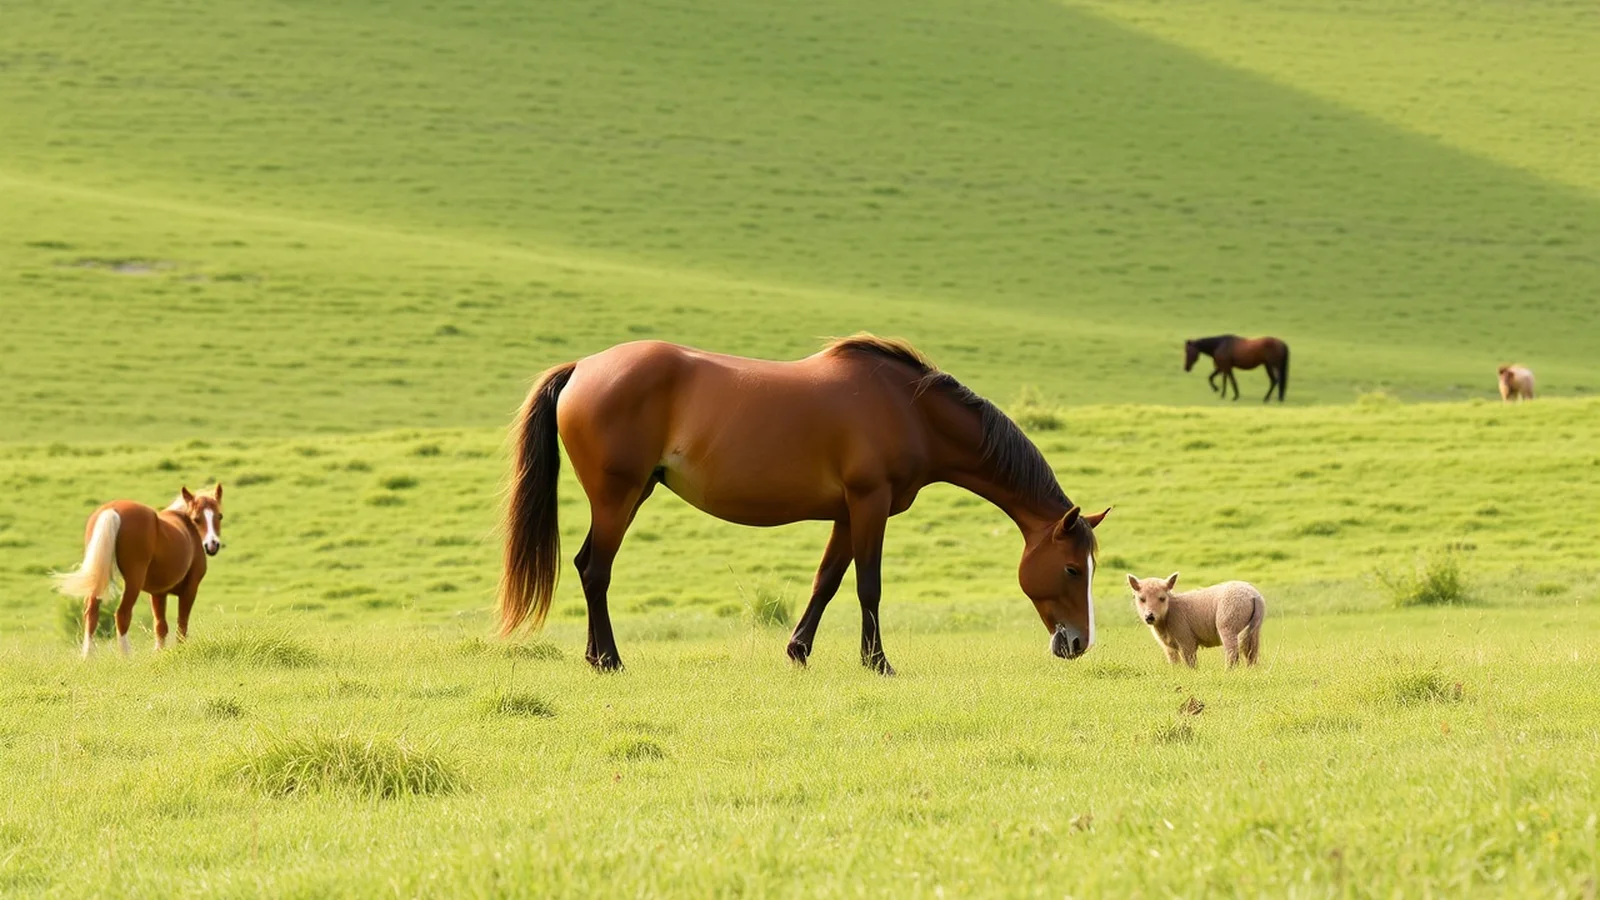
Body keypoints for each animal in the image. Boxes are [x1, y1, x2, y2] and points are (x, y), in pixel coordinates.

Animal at [54, 485, 225, 658]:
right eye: (197, 519)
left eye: (219, 516)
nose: (212, 545)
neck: (187, 526)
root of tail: (112, 510)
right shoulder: (189, 589)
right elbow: (181, 624)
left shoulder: (158, 593)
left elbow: (160, 626)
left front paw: (159, 654)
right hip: (133, 581)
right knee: (122, 614)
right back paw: (126, 656)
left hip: (100, 576)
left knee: (91, 612)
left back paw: (88, 656)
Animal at [498, 335, 1110, 674]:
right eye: (1072, 568)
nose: (1079, 644)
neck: (908, 408)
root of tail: (583, 367)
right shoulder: (870, 503)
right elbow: (868, 586)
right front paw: (877, 662)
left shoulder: (847, 511)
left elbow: (827, 581)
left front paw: (798, 650)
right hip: (618, 495)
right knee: (595, 569)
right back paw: (608, 660)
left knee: (588, 567)